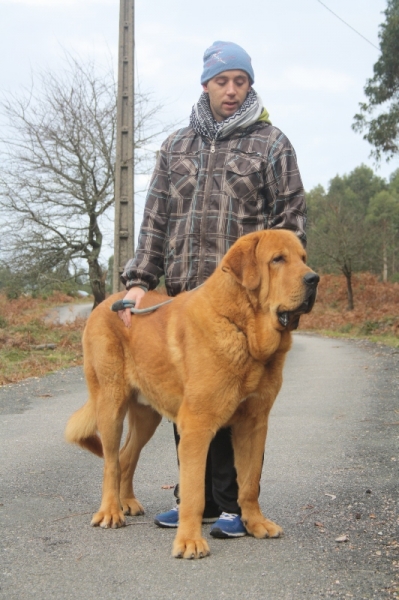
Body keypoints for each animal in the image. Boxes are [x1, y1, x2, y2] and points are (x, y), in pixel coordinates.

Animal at [67, 229, 320, 556]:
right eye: (278, 259)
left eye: (303, 258)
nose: (314, 279)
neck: (242, 329)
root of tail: (106, 304)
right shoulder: (197, 425)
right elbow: (194, 492)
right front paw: (189, 540)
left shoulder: (254, 424)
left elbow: (249, 483)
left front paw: (254, 523)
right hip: (111, 405)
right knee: (111, 461)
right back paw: (111, 511)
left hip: (147, 416)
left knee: (126, 456)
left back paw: (128, 502)